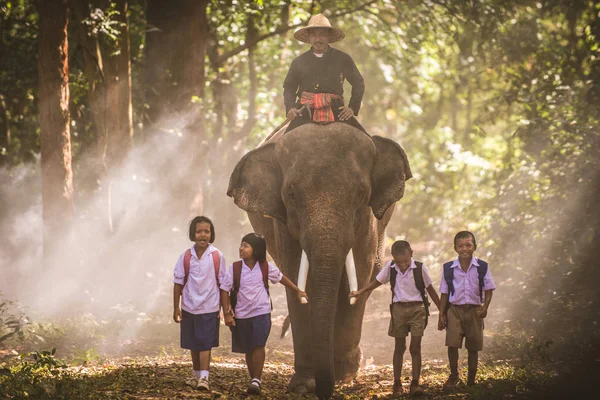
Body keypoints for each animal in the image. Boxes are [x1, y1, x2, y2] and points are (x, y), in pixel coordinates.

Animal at [226, 123, 412, 398]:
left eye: (361, 193)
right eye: (291, 194)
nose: (325, 389)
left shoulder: (368, 220)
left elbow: (359, 275)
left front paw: (343, 377)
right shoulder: (283, 224)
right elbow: (296, 279)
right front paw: (304, 384)